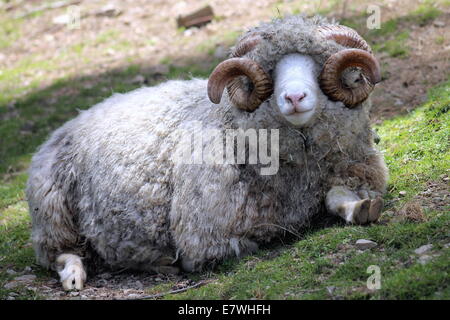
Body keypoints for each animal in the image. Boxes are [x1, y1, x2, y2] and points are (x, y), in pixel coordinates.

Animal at [27, 14, 386, 290]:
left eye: (318, 64)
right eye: (270, 70)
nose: (295, 97)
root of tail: (72, 120)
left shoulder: (352, 170)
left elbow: (340, 196)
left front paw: (360, 208)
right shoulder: (203, 236)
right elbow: (242, 244)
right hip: (52, 209)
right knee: (61, 252)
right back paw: (78, 275)